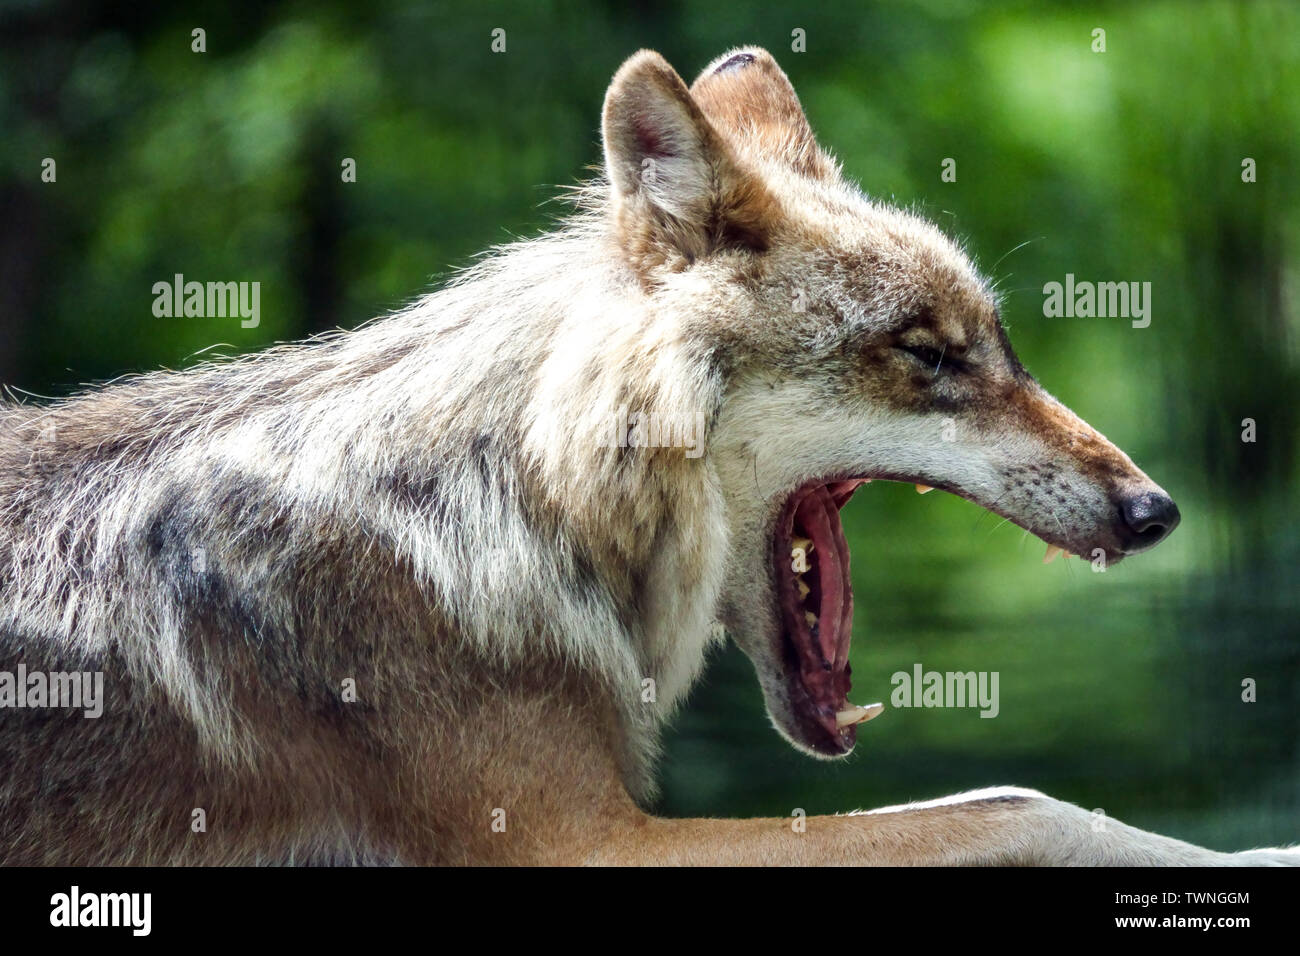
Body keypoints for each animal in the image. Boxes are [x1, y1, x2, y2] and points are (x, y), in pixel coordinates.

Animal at [2, 46, 1300, 868]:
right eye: (929, 354)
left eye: (1005, 348)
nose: (1153, 510)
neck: (516, 501)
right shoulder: (577, 842)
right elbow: (1021, 804)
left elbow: (1003, 800)